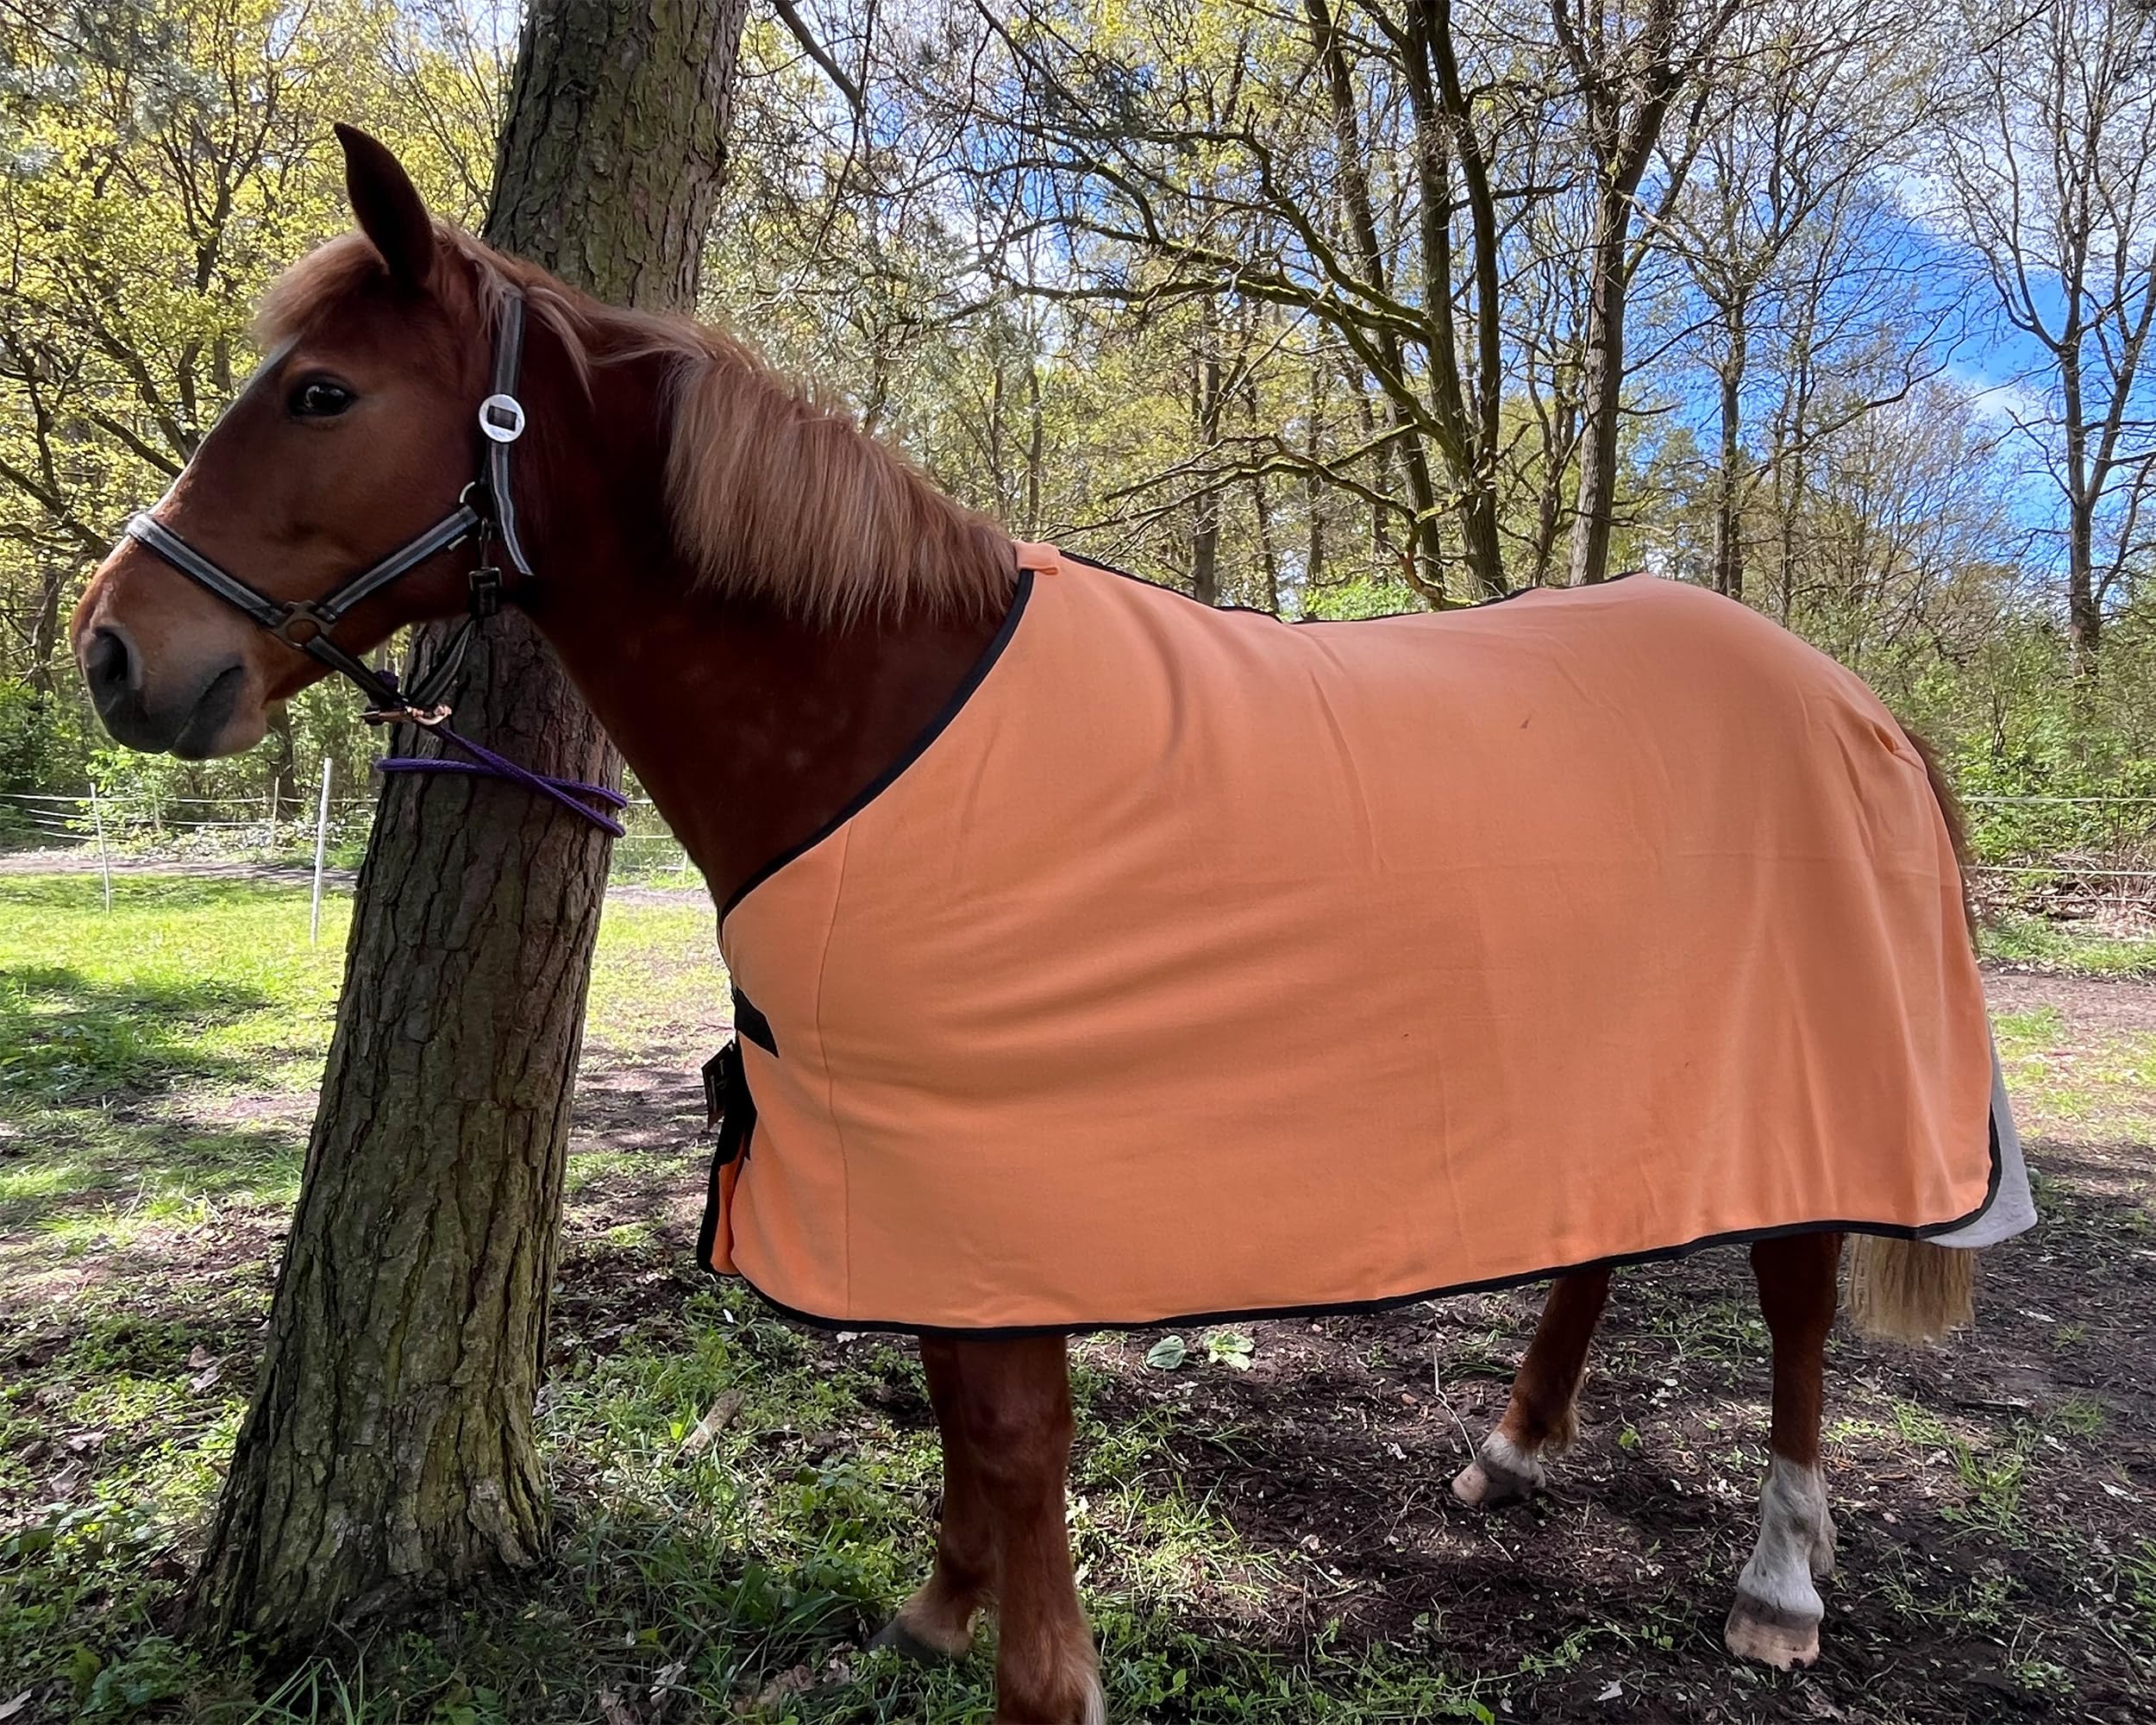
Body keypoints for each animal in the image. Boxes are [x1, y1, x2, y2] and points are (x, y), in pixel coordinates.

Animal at [74, 127, 2032, 1725]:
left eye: (321, 395)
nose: (112, 651)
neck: (881, 711)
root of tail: (1847, 697)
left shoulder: (995, 1154)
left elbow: (1014, 1431)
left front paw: (1036, 1678)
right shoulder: (916, 1168)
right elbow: (957, 1407)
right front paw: (936, 1613)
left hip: (1809, 1071)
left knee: (1793, 1290)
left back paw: (1777, 1581)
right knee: (1599, 1239)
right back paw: (1509, 1451)